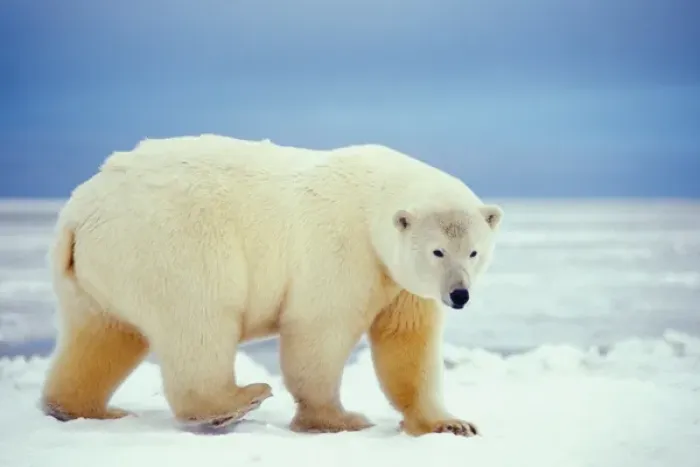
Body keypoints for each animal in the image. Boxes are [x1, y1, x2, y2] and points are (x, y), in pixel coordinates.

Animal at [40, 135, 504, 437]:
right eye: (438, 251)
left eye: (474, 252)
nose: (458, 294)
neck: (372, 199)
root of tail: (78, 214)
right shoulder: (342, 250)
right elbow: (319, 330)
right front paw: (339, 420)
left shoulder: (396, 279)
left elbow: (408, 343)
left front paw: (451, 423)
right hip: (170, 243)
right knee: (200, 319)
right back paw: (236, 400)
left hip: (93, 273)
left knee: (101, 335)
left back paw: (82, 409)